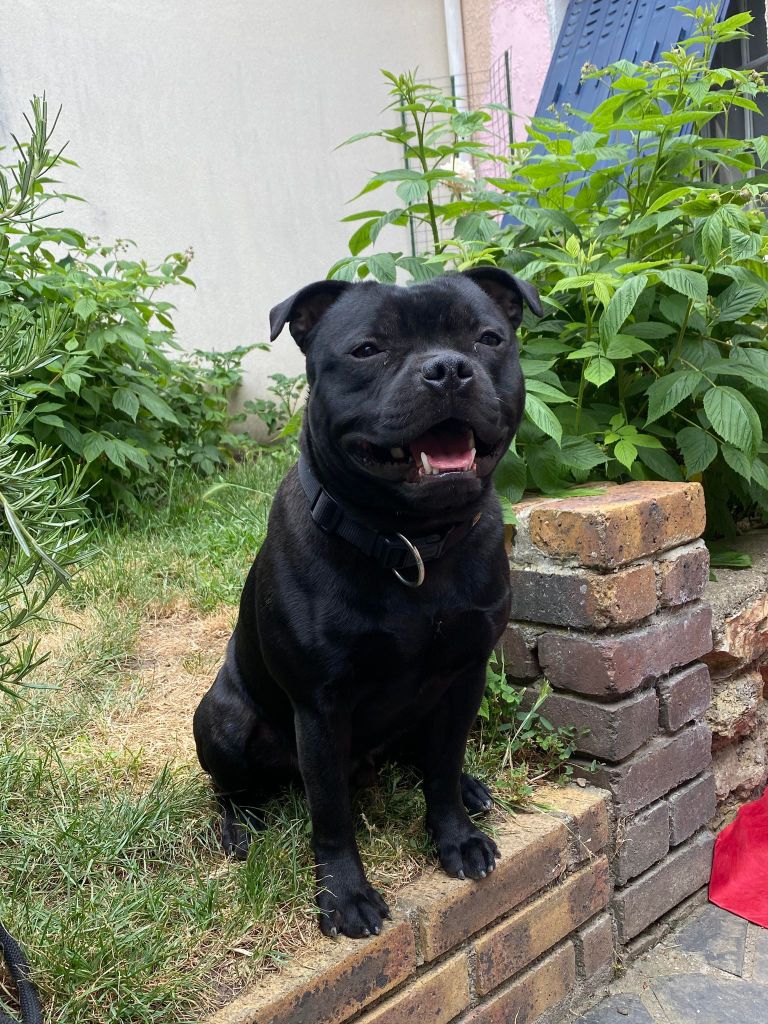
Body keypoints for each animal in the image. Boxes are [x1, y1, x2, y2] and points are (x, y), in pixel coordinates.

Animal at [193, 267, 542, 938]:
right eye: (366, 349)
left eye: (488, 338)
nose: (447, 369)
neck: (410, 543)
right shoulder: (321, 707)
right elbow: (330, 814)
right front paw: (345, 896)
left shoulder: (464, 675)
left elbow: (441, 769)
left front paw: (457, 837)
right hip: (223, 719)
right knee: (234, 786)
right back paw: (240, 825)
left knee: (426, 757)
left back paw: (471, 787)